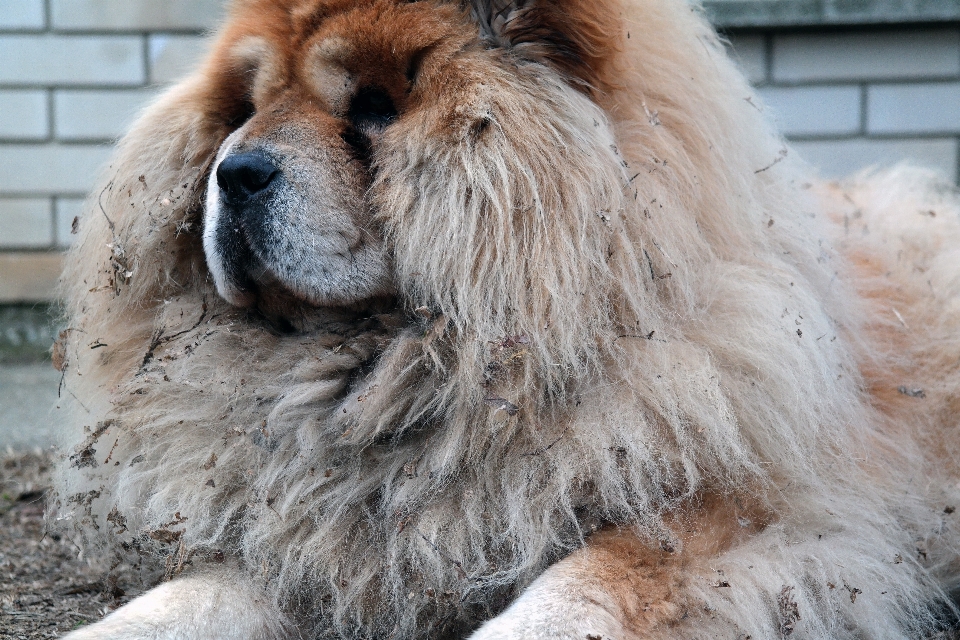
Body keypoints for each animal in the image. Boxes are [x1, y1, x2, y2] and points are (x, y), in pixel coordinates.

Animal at [56, 0, 960, 636]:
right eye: (244, 103)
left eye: (375, 108)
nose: (234, 169)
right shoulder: (317, 541)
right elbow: (184, 599)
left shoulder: (752, 519)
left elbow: (581, 591)